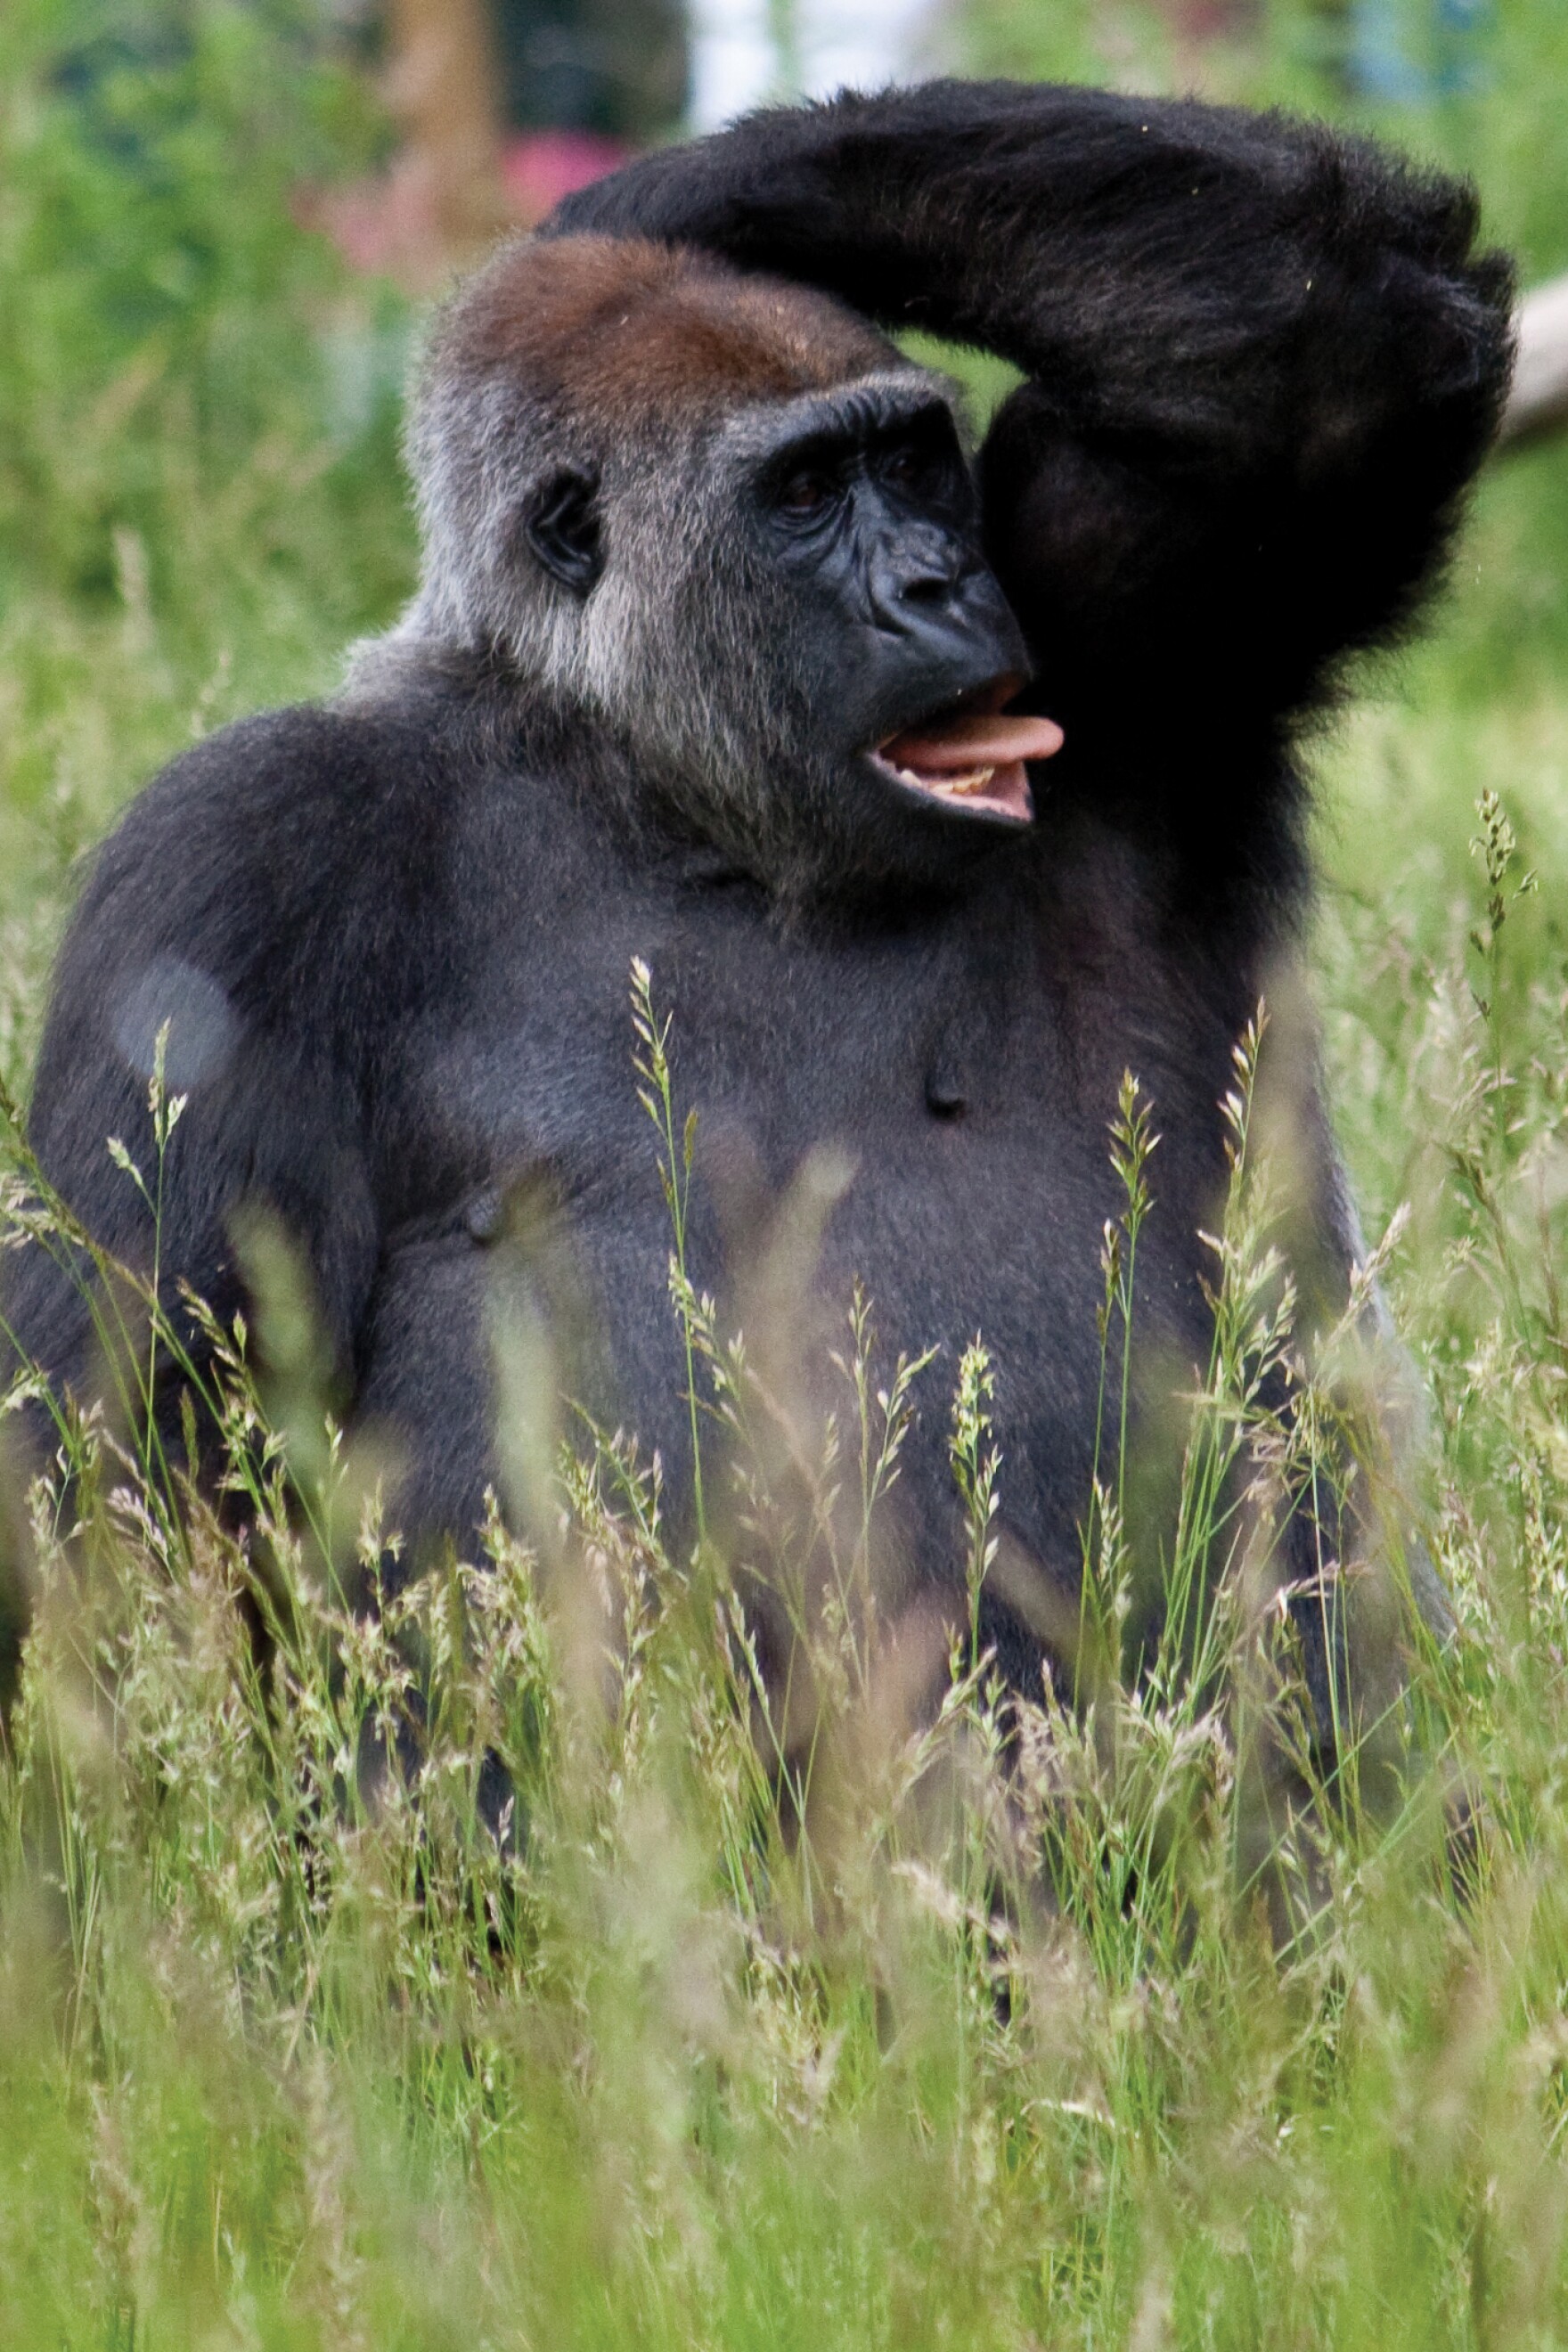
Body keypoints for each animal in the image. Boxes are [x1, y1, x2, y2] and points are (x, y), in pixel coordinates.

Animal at [0, 81, 1513, 1779]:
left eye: (914, 466)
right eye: (803, 495)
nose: (936, 583)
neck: (656, 782)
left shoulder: (1106, 626)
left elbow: (1335, 357)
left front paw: (640, 204)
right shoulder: (230, 860)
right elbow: (107, 1485)